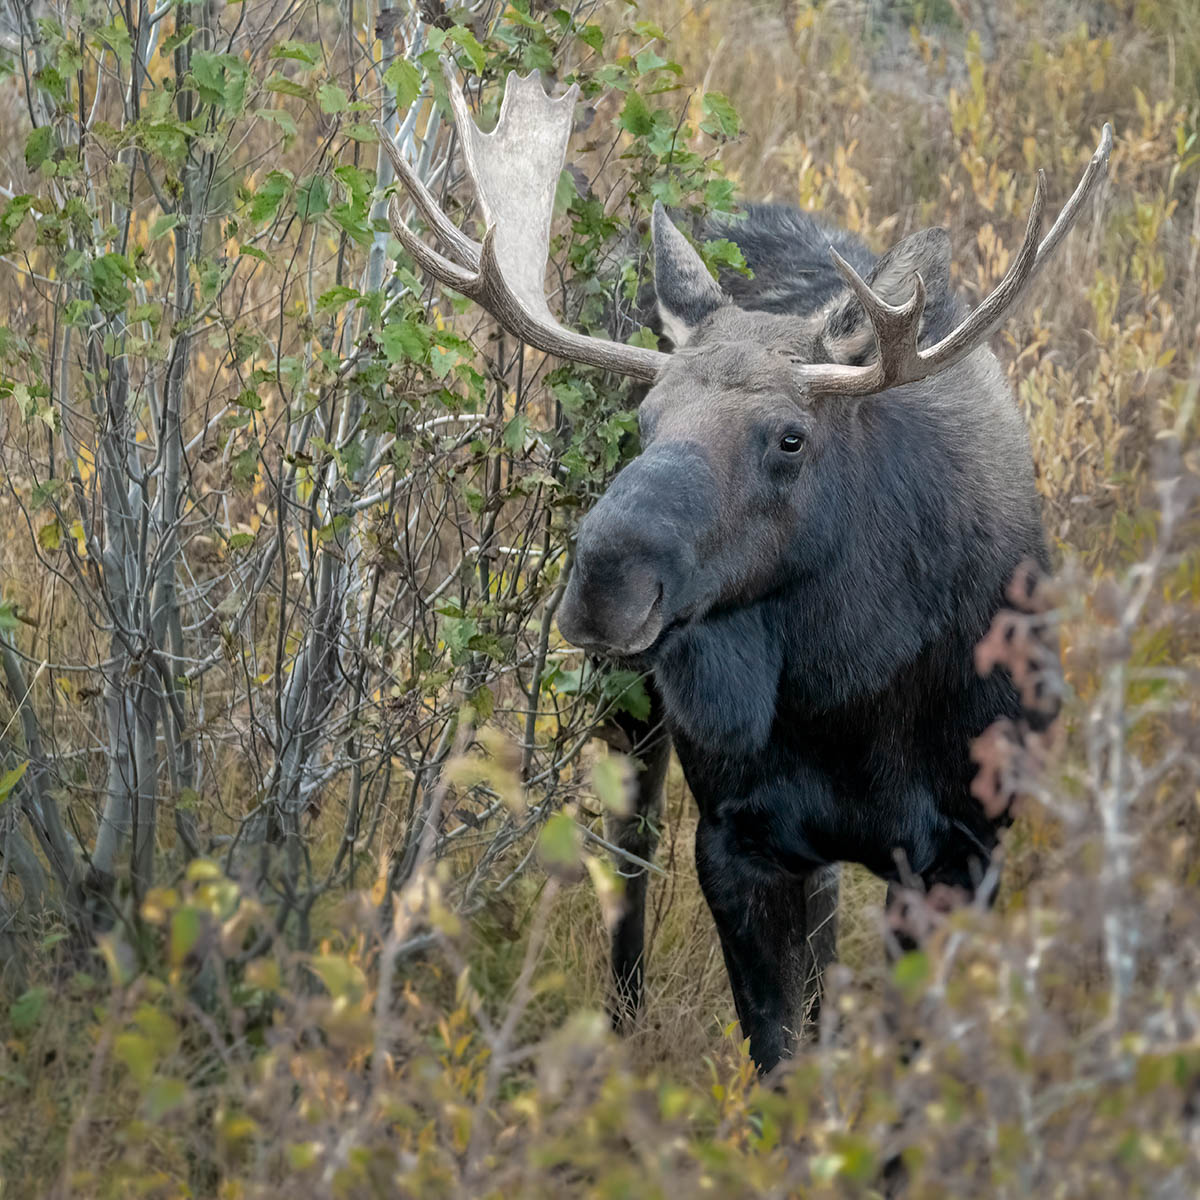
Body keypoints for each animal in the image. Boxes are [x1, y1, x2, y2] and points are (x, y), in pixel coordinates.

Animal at [376, 70, 1113, 1075]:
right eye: (644, 419)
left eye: (791, 437)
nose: (604, 582)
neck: (851, 696)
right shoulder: (736, 840)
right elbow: (778, 1060)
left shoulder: (965, 851)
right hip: (633, 714)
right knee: (632, 851)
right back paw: (620, 1032)